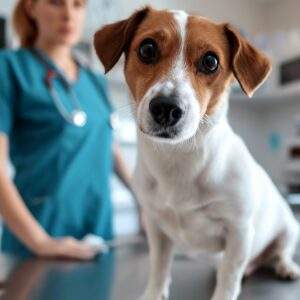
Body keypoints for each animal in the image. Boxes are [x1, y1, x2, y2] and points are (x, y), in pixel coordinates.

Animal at [94, 6, 300, 300]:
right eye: (147, 49)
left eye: (210, 61)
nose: (166, 108)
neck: (178, 158)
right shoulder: (155, 227)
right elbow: (159, 266)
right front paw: (154, 292)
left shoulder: (239, 231)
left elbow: (228, 277)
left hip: (289, 229)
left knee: (280, 252)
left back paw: (285, 266)